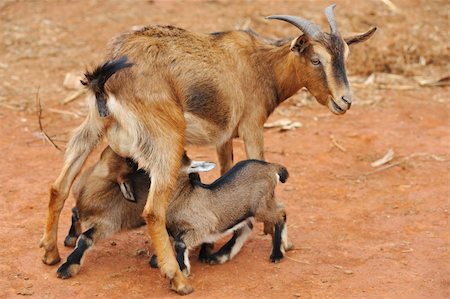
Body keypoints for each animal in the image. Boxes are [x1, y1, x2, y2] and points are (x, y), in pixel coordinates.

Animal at [40, 4, 376, 296]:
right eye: (315, 59)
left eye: (345, 54)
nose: (344, 100)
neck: (260, 64)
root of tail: (107, 77)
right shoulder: (253, 128)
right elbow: (261, 167)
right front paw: (278, 241)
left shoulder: (223, 138)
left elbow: (227, 174)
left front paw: (215, 245)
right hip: (167, 142)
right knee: (153, 211)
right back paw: (177, 279)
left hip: (92, 128)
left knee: (59, 186)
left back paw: (51, 254)